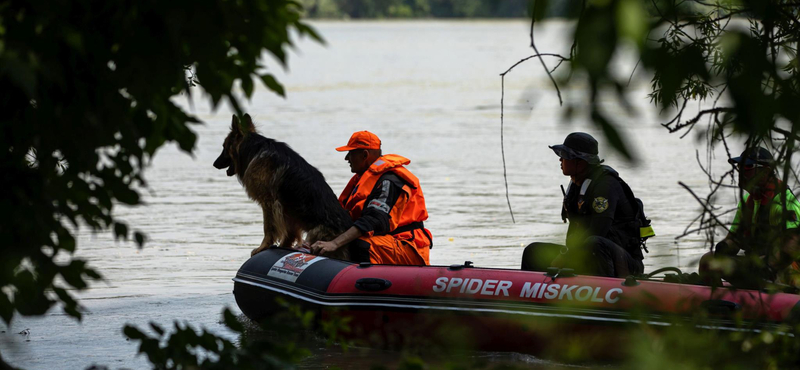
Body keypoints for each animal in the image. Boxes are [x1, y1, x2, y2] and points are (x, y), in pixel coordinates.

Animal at [214, 114, 352, 258]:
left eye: (224, 147)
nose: (214, 164)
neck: (253, 149)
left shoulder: (269, 203)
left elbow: (268, 228)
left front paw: (263, 247)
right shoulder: (285, 208)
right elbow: (289, 232)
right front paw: (283, 246)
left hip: (315, 234)